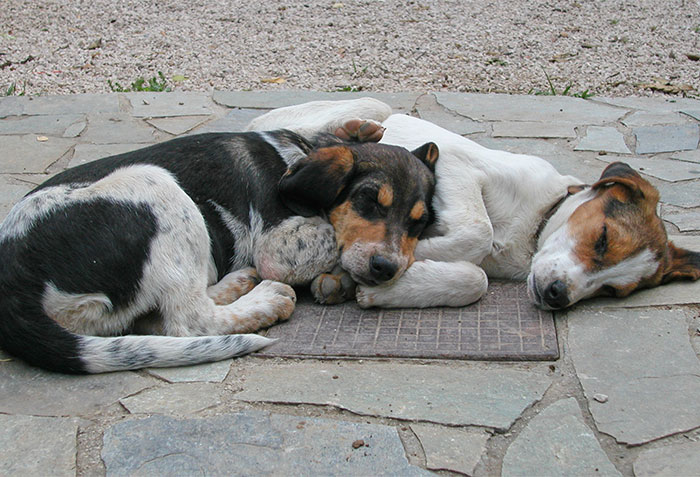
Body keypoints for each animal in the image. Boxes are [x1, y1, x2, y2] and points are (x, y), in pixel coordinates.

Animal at [0, 122, 438, 372]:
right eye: (368, 200)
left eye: (419, 222)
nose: (386, 268)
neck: (297, 156)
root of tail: (13, 280)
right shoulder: (277, 245)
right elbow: (335, 236)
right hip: (155, 185)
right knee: (189, 320)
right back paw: (264, 299)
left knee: (162, 318)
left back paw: (237, 283)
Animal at [247, 98, 700, 310]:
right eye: (602, 238)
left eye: (612, 290)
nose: (558, 296)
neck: (533, 223)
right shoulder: (453, 161)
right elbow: (479, 233)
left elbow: (475, 278)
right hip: (367, 107)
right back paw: (352, 131)